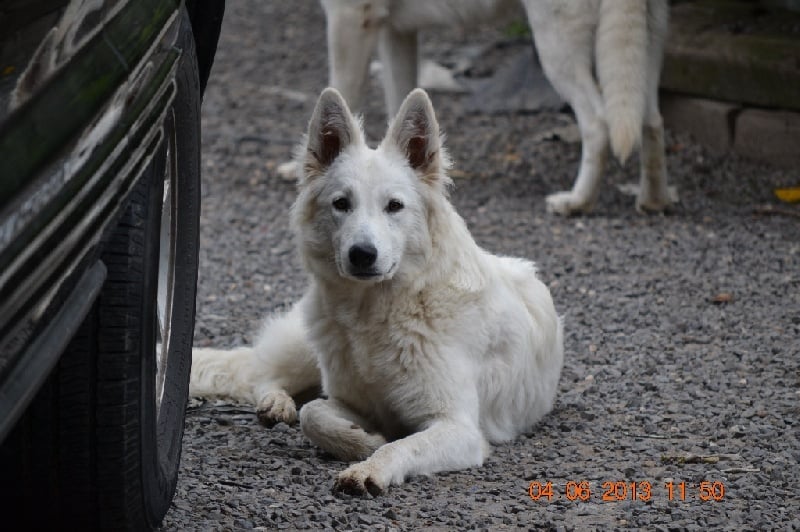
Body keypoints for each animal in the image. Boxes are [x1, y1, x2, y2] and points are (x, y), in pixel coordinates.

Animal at [191, 86, 564, 494]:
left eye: (394, 206)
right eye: (341, 203)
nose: (362, 254)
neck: (378, 311)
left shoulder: (458, 428)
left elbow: (402, 445)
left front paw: (369, 467)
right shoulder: (352, 400)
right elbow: (314, 414)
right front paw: (361, 441)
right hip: (309, 343)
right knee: (267, 377)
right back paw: (277, 403)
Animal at [312, 0, 676, 214]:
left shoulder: (349, 19)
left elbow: (341, 93)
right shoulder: (396, 32)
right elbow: (399, 109)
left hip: (557, 44)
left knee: (599, 124)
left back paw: (576, 202)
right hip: (647, 43)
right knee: (651, 121)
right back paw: (653, 201)